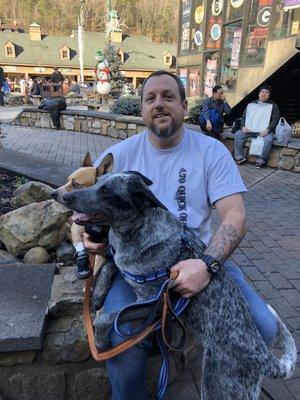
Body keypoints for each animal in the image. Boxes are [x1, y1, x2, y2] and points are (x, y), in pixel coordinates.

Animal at [62, 154, 296, 400]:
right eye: (97, 183)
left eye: (106, 192)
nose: (65, 197)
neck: (136, 231)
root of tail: (262, 357)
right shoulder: (121, 263)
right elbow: (109, 266)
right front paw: (97, 294)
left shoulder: (153, 303)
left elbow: (107, 317)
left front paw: (99, 341)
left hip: (217, 385)